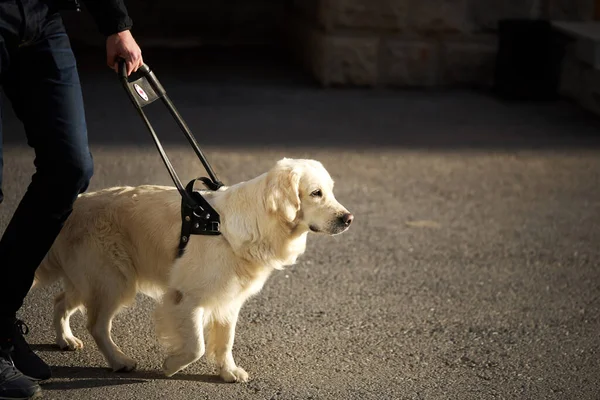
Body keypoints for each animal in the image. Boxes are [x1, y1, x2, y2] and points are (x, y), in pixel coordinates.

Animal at [31, 158, 352, 382]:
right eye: (316, 193)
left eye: (331, 191)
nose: (348, 218)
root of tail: (76, 204)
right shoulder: (186, 297)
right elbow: (196, 346)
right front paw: (170, 366)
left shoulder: (229, 299)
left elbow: (225, 341)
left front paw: (228, 371)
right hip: (113, 280)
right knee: (97, 324)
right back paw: (119, 360)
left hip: (91, 279)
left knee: (60, 301)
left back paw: (65, 340)